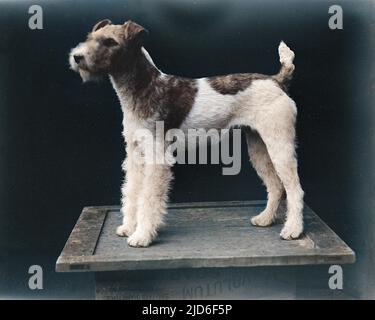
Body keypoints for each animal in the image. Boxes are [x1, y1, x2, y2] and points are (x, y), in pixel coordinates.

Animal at [70, 19, 306, 248]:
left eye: (110, 42)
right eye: (90, 38)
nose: (77, 57)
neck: (145, 87)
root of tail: (277, 81)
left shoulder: (157, 157)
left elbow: (148, 197)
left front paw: (142, 236)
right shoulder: (135, 153)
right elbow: (132, 190)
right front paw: (129, 227)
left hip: (279, 145)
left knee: (294, 189)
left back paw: (293, 229)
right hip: (259, 147)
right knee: (276, 186)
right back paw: (265, 219)